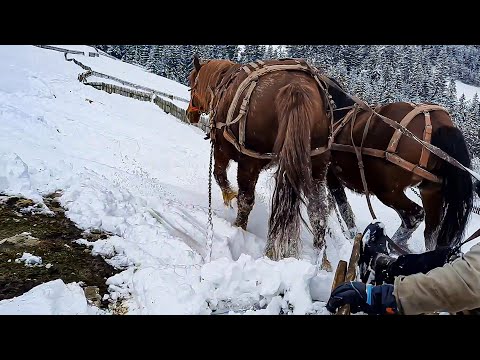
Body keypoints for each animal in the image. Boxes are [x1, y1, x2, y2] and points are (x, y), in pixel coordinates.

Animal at [184, 57, 334, 264]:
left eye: (192, 84)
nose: (190, 113)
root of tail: (296, 87)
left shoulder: (222, 150)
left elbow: (219, 176)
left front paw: (229, 196)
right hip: (318, 163)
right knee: (317, 212)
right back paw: (322, 260)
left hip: (250, 161)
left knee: (246, 199)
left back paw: (239, 228)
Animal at [322, 79, 472, 253]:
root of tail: (437, 125)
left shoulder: (331, 176)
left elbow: (344, 209)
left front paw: (351, 235)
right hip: (431, 191)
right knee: (431, 231)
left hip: (387, 191)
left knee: (413, 216)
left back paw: (393, 246)